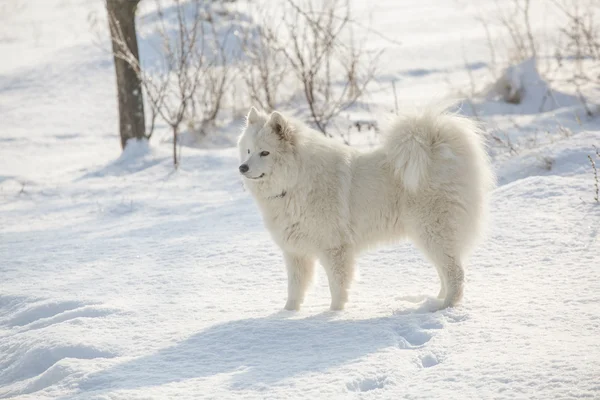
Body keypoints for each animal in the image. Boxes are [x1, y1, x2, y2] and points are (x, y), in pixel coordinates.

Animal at [237, 106, 494, 312]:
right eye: (248, 151)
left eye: (265, 152)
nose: (242, 168)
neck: (295, 182)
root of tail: (439, 147)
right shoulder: (295, 252)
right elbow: (295, 288)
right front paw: (287, 315)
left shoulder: (334, 248)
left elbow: (337, 286)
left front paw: (333, 314)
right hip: (430, 237)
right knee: (446, 271)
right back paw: (435, 300)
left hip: (433, 232)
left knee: (456, 274)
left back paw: (445, 307)